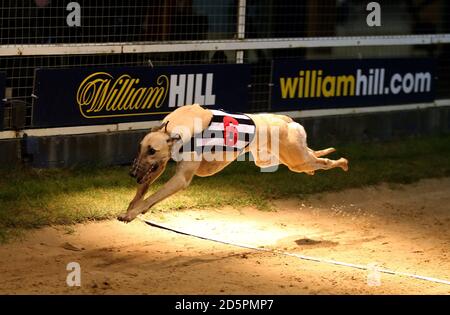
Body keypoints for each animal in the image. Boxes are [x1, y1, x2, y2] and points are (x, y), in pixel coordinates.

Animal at [117, 103, 348, 222]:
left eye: (152, 151)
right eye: (140, 148)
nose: (132, 174)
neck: (177, 127)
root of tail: (286, 119)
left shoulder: (181, 178)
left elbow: (152, 196)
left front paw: (132, 213)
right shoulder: (160, 166)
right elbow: (143, 191)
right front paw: (131, 207)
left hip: (296, 159)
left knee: (323, 161)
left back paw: (342, 162)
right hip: (275, 159)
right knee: (313, 156)